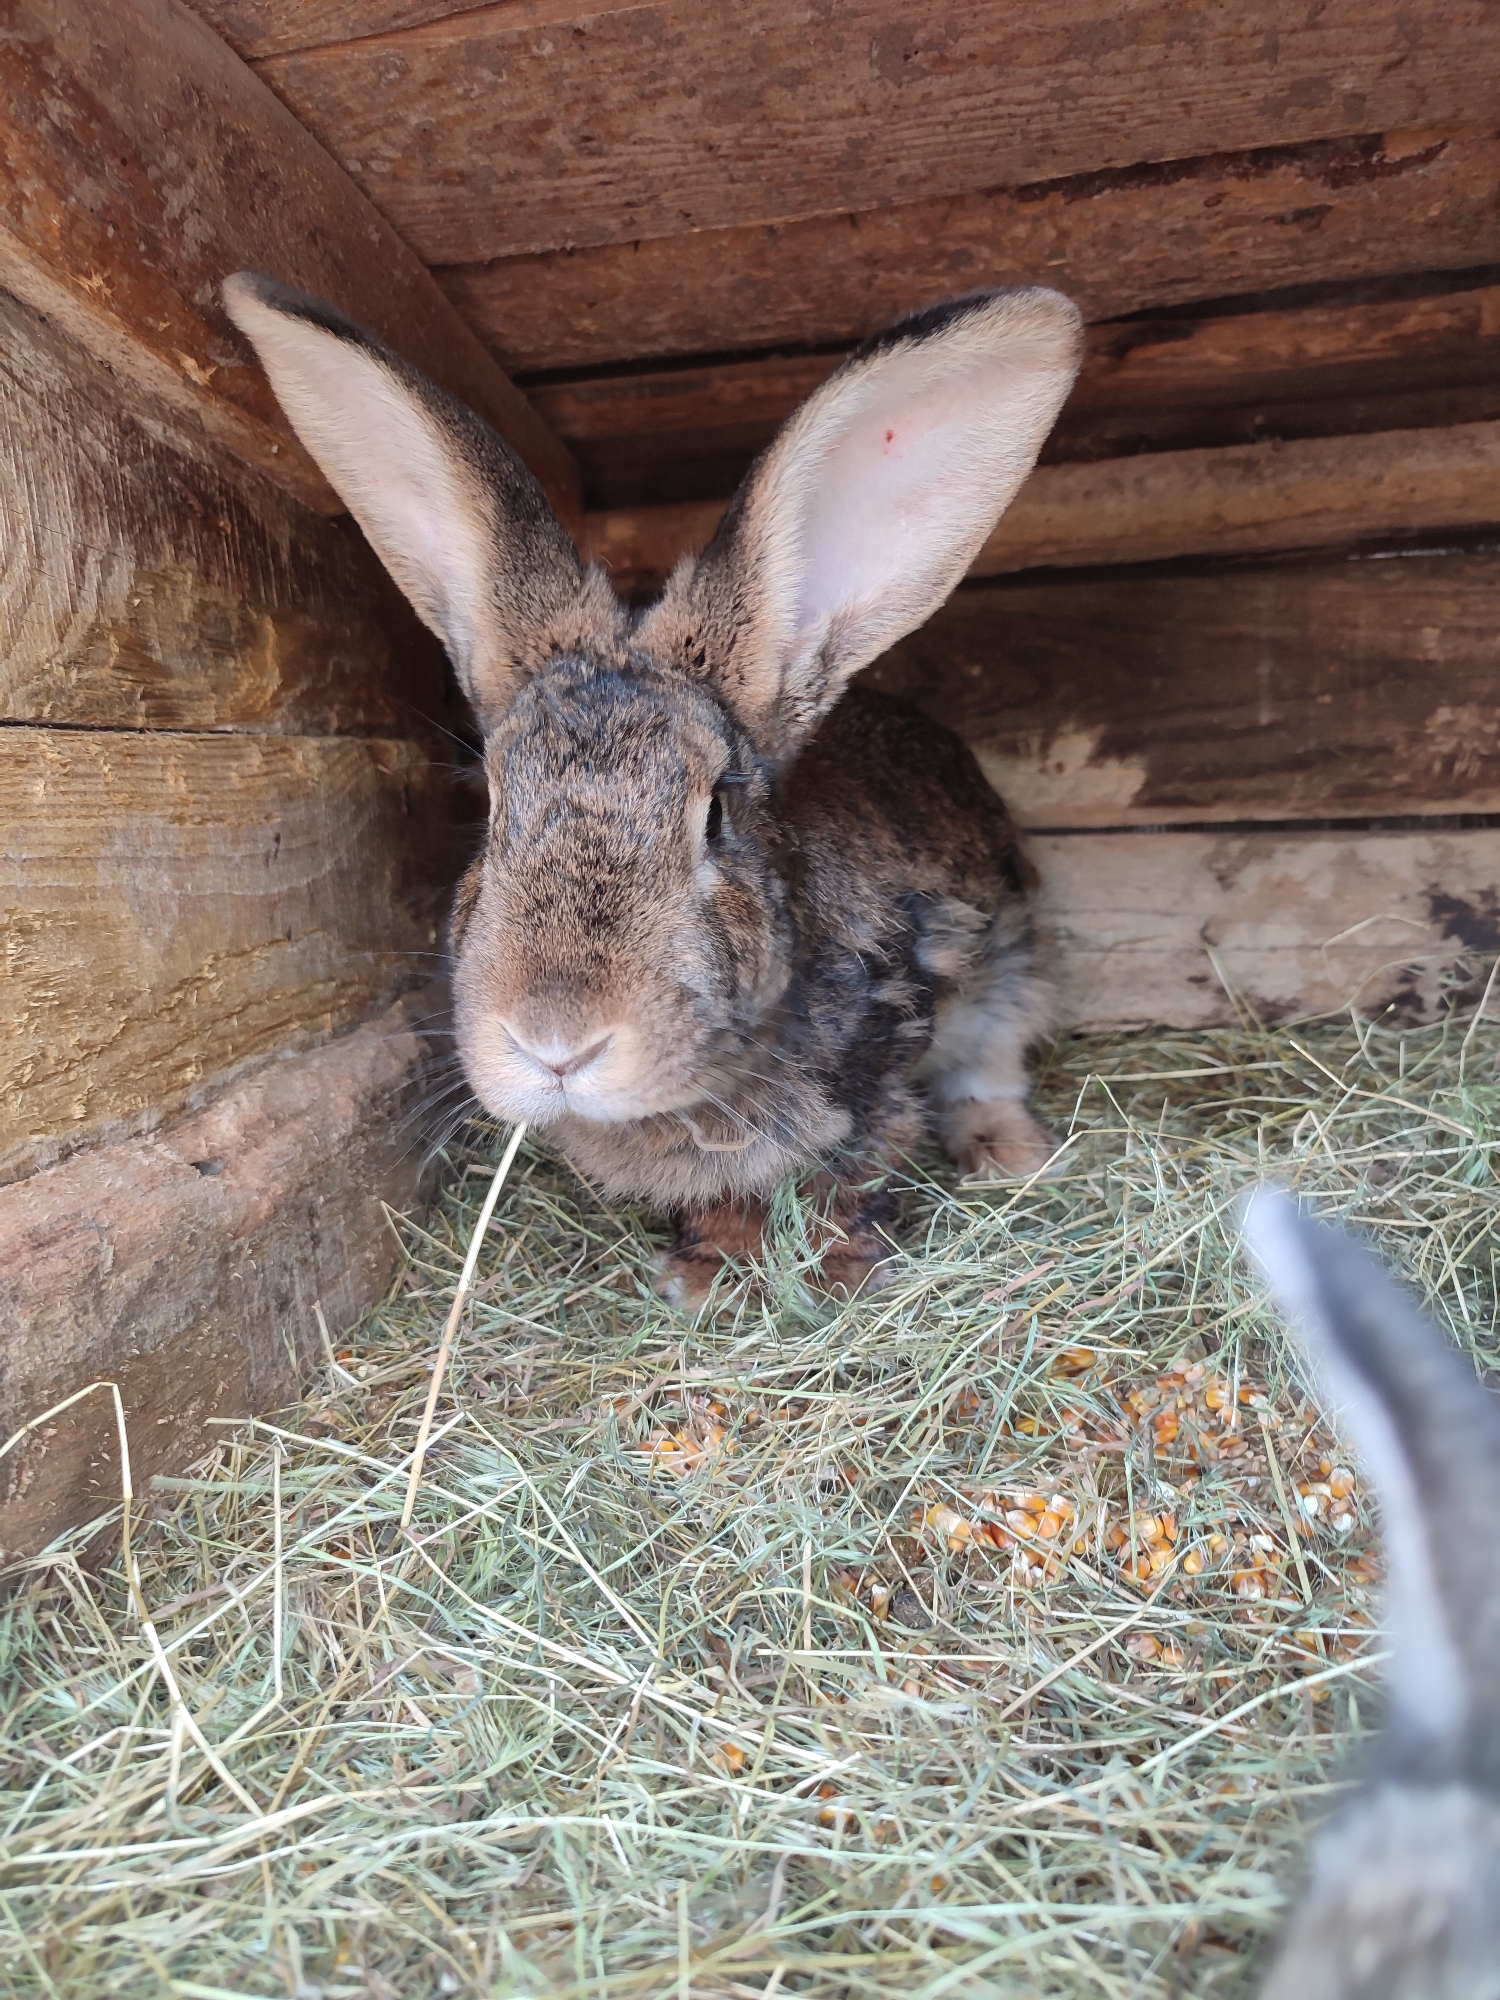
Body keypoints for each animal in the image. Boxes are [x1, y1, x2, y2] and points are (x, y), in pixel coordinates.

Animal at [221, 272, 1083, 1302]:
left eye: (715, 813)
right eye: (491, 808)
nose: (556, 1044)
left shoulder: (891, 1048)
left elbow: (858, 1169)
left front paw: (835, 1275)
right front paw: (706, 1274)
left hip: (1009, 968)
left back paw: (1009, 1156)